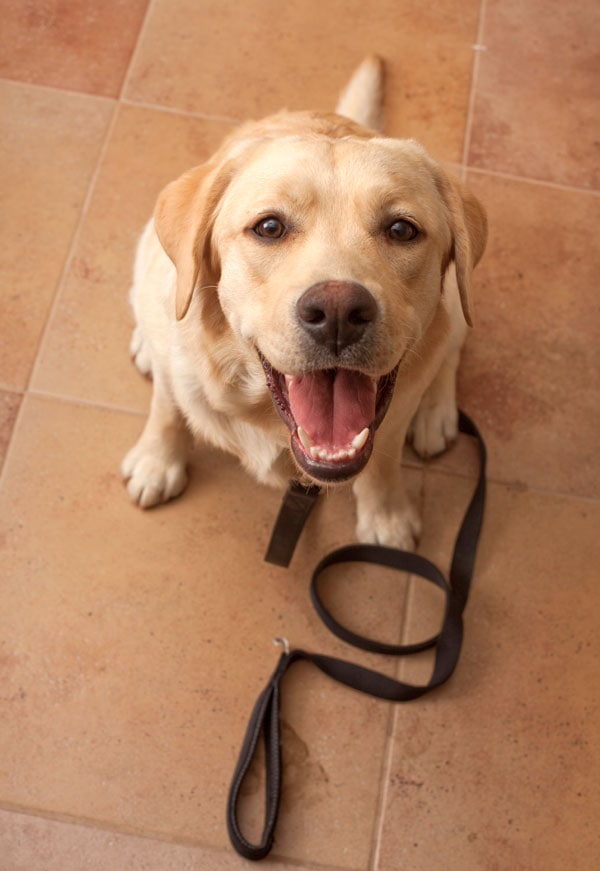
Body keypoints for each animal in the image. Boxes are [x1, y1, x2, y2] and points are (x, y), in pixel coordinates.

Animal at [122, 59, 488, 552]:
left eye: (401, 230)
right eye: (269, 227)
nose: (338, 314)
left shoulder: (387, 425)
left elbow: (383, 464)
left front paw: (386, 516)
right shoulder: (173, 370)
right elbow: (166, 411)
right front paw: (157, 462)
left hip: (456, 297)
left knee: (450, 352)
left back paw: (435, 413)